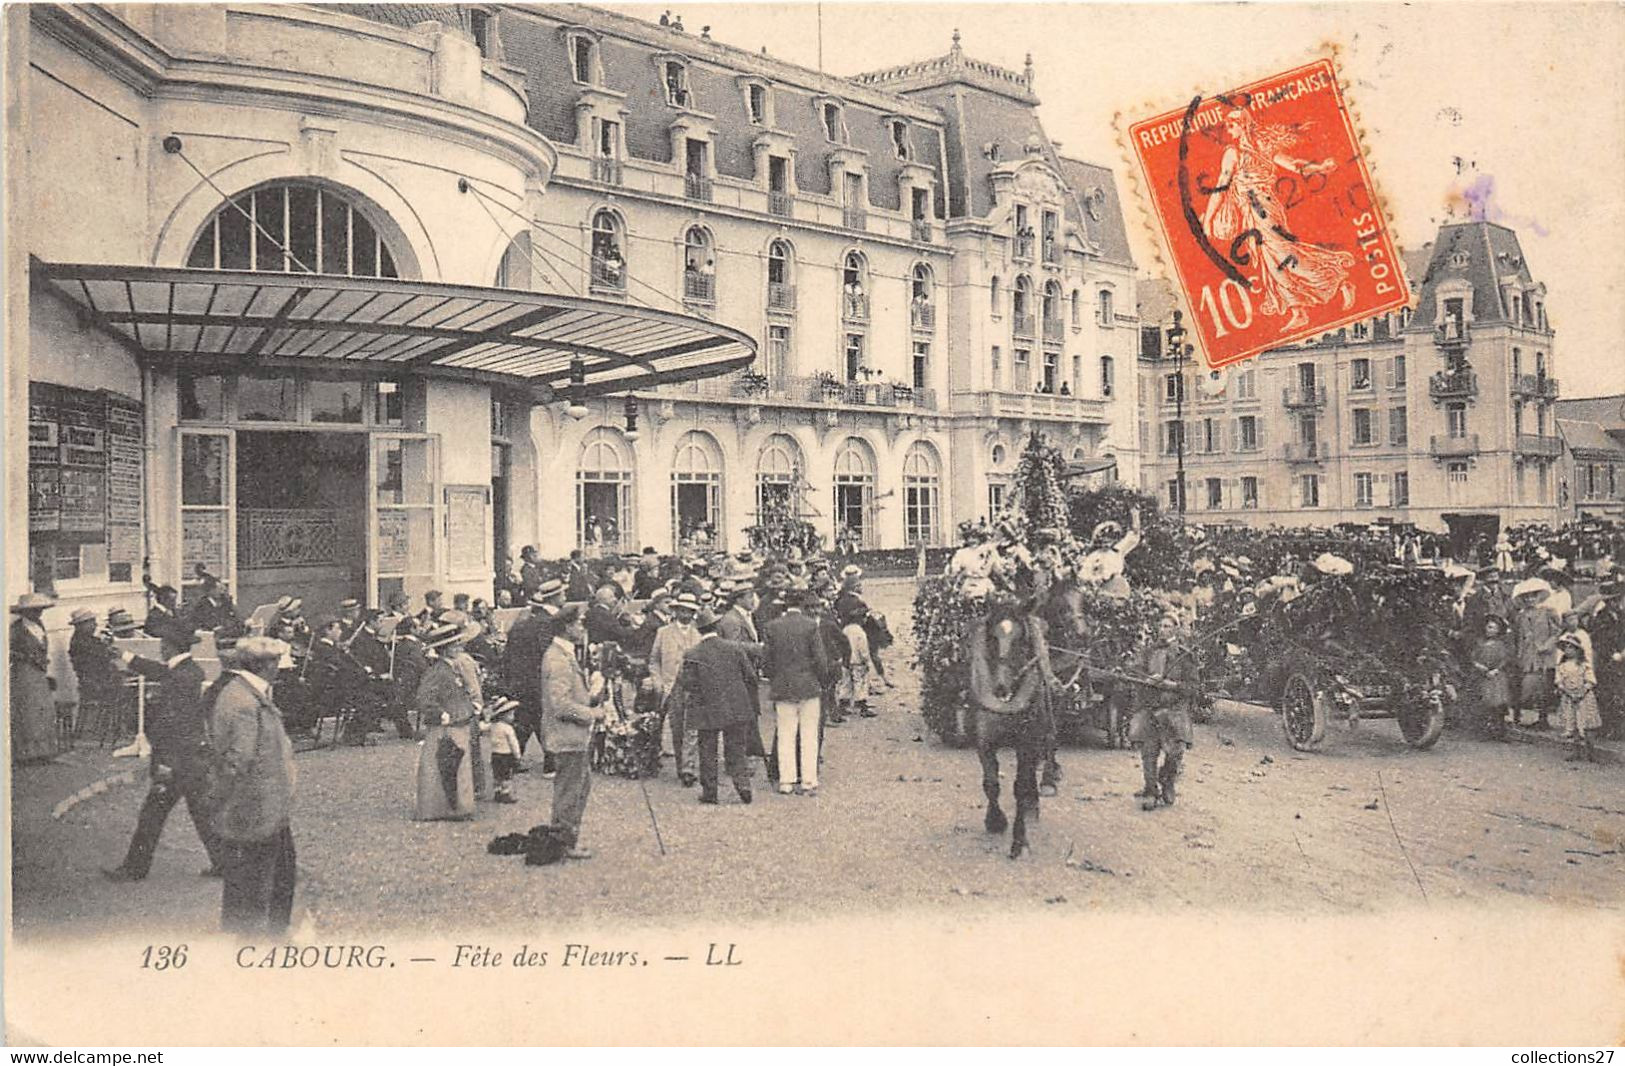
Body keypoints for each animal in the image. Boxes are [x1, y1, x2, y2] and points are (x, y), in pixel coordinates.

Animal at [962, 598, 1053, 858]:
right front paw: (995, 820)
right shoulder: (983, 739)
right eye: (992, 638)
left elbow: (1020, 787)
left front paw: (1019, 840)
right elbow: (991, 783)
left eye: (1021, 641)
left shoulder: (1027, 741)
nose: (1001, 688)